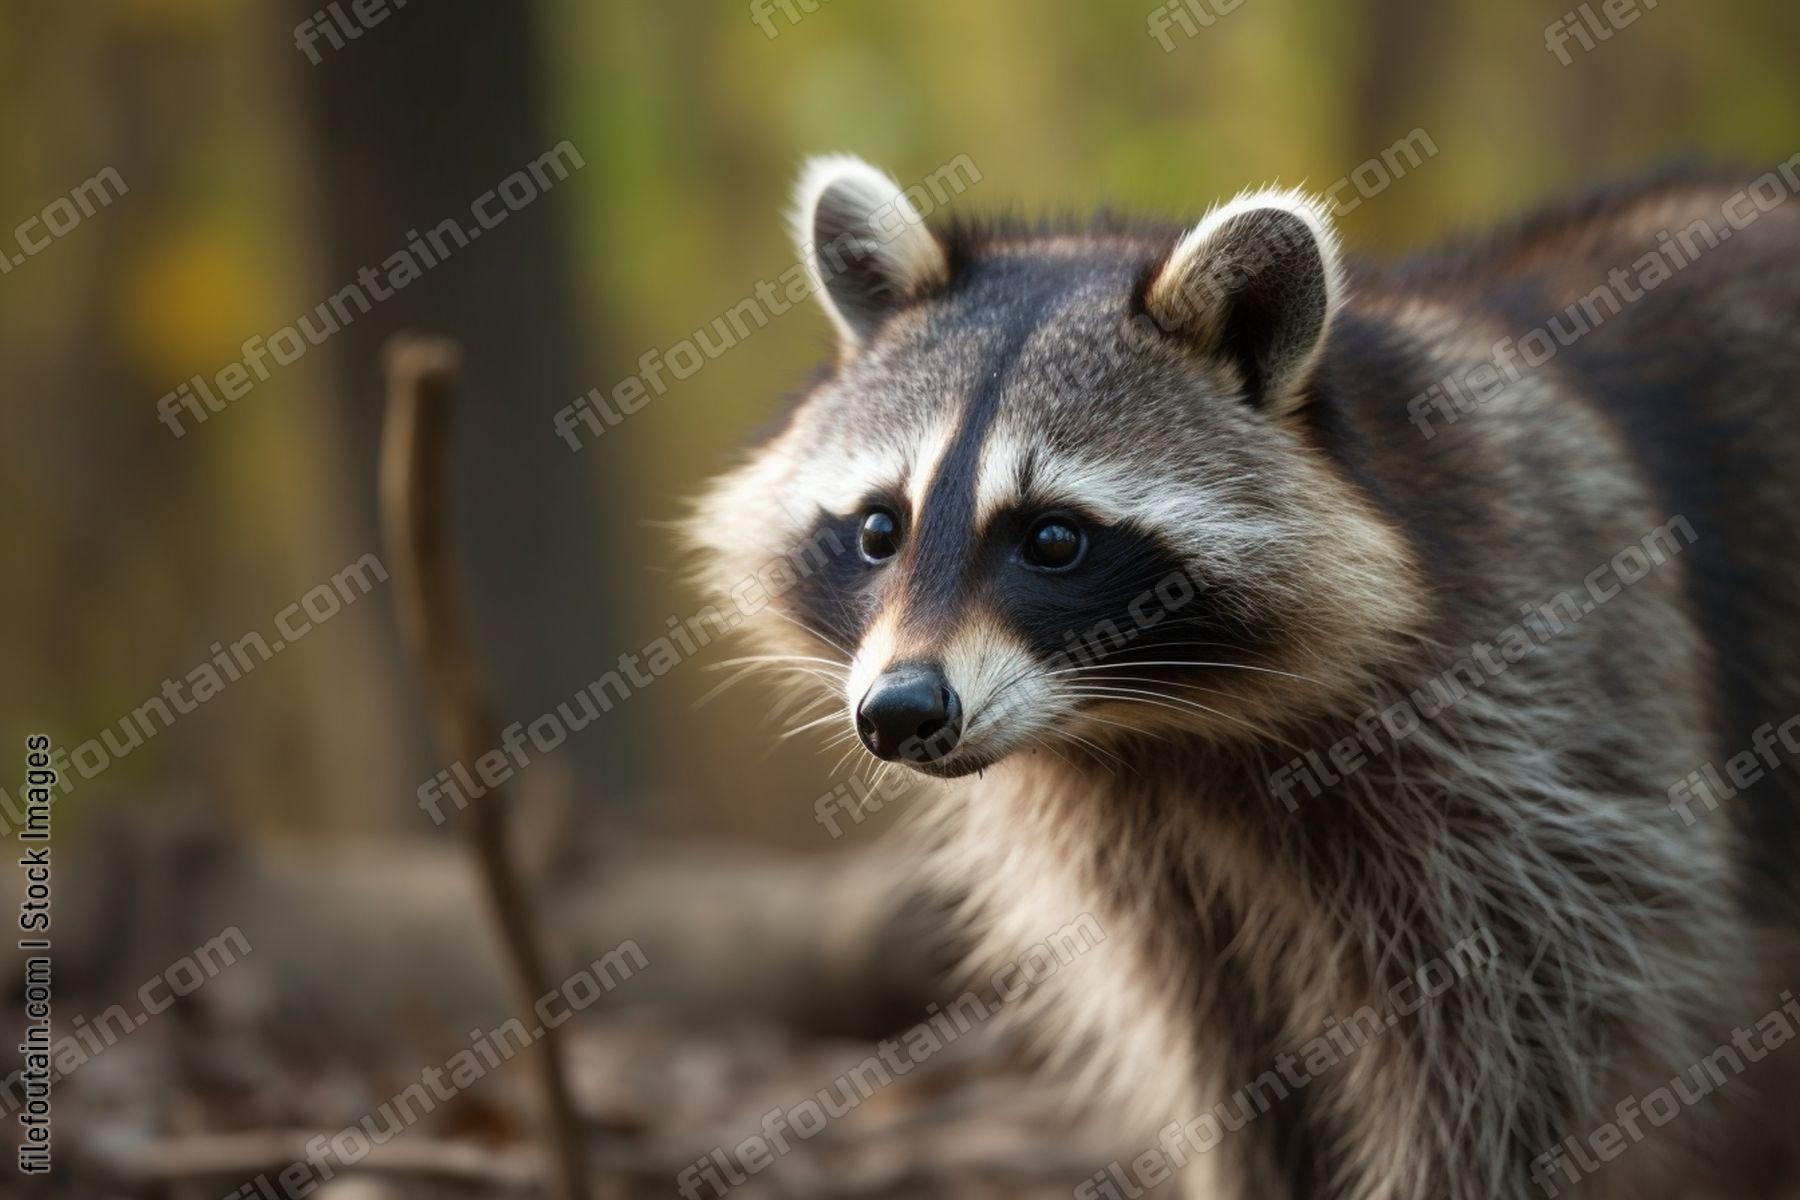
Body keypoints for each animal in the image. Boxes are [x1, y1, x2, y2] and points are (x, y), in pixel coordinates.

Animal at [688, 155, 1800, 1198]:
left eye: (1053, 539)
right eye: (881, 528)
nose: (901, 712)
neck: (1159, 726)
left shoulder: (1552, 720)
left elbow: (1520, 1045)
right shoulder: (1153, 872)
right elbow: (1229, 1060)